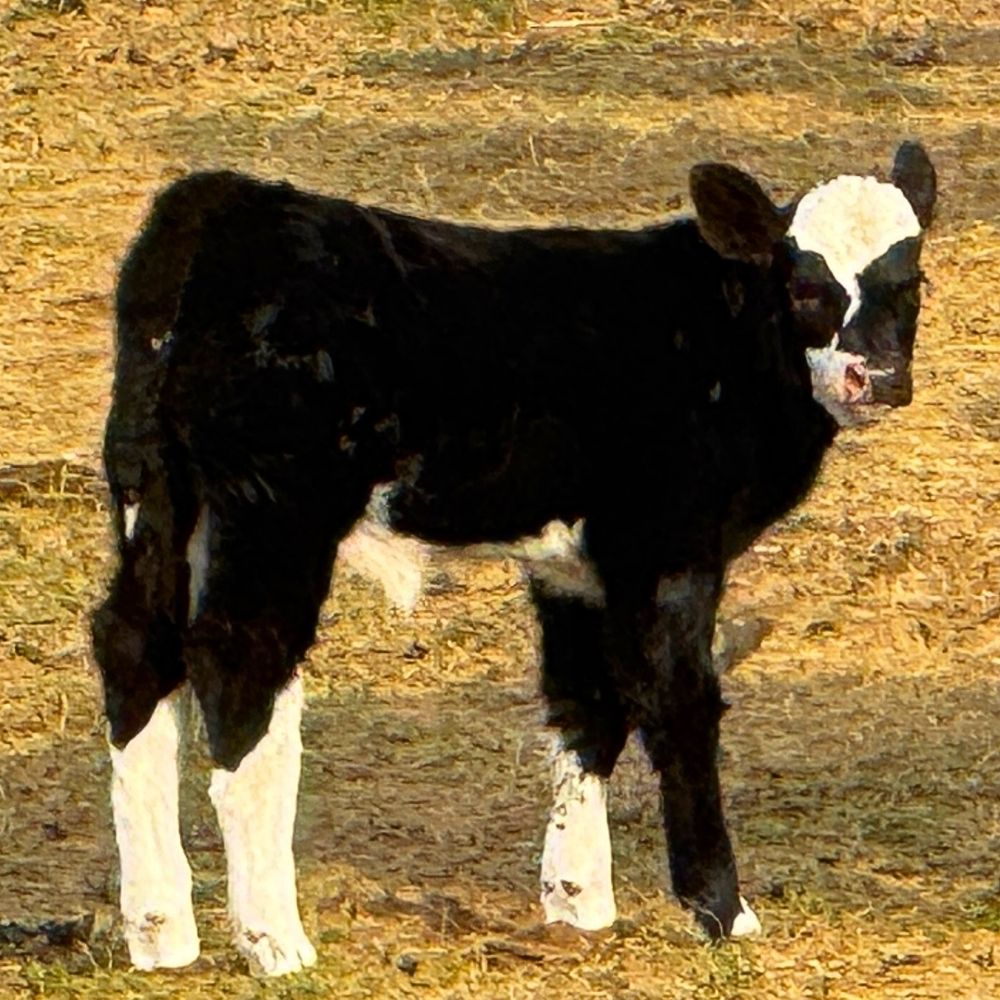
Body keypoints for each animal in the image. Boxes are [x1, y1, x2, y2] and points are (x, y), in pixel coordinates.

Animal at [91, 142, 935, 975]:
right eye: (805, 285)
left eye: (912, 281)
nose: (877, 377)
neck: (714, 336)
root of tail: (224, 204)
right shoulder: (668, 551)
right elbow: (681, 708)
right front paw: (721, 910)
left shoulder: (575, 568)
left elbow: (586, 705)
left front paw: (579, 899)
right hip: (275, 513)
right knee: (240, 665)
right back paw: (274, 940)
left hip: (156, 499)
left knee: (135, 649)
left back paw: (160, 931)